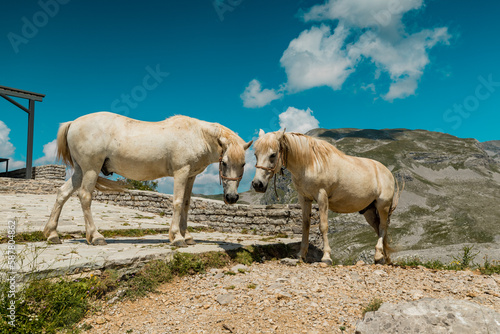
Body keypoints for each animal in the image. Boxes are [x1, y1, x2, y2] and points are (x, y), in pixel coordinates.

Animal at [43, 113, 252, 248]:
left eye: (243, 164)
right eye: (224, 162)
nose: (232, 198)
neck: (196, 135)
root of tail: (73, 123)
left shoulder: (191, 176)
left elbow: (186, 204)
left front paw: (187, 236)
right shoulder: (181, 172)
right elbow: (177, 203)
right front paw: (177, 237)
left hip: (80, 171)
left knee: (62, 193)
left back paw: (52, 234)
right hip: (90, 170)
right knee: (85, 197)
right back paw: (95, 236)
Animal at [252, 129, 400, 264]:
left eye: (273, 154)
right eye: (255, 154)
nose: (257, 184)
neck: (310, 163)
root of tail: (387, 172)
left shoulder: (321, 196)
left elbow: (323, 226)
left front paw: (326, 257)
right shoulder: (304, 199)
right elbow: (305, 225)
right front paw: (301, 255)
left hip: (383, 206)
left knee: (382, 227)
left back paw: (378, 255)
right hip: (368, 211)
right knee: (379, 228)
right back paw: (384, 257)